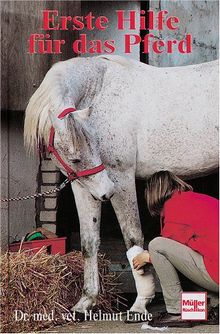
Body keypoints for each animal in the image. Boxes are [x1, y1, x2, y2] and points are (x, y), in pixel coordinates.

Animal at [24, 56, 218, 318]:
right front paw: (85, 302)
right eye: (75, 159)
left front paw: (140, 304)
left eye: (95, 145)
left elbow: (133, 239)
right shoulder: (84, 186)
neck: (98, 90)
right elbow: (89, 242)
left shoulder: (121, 177)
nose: (107, 191)